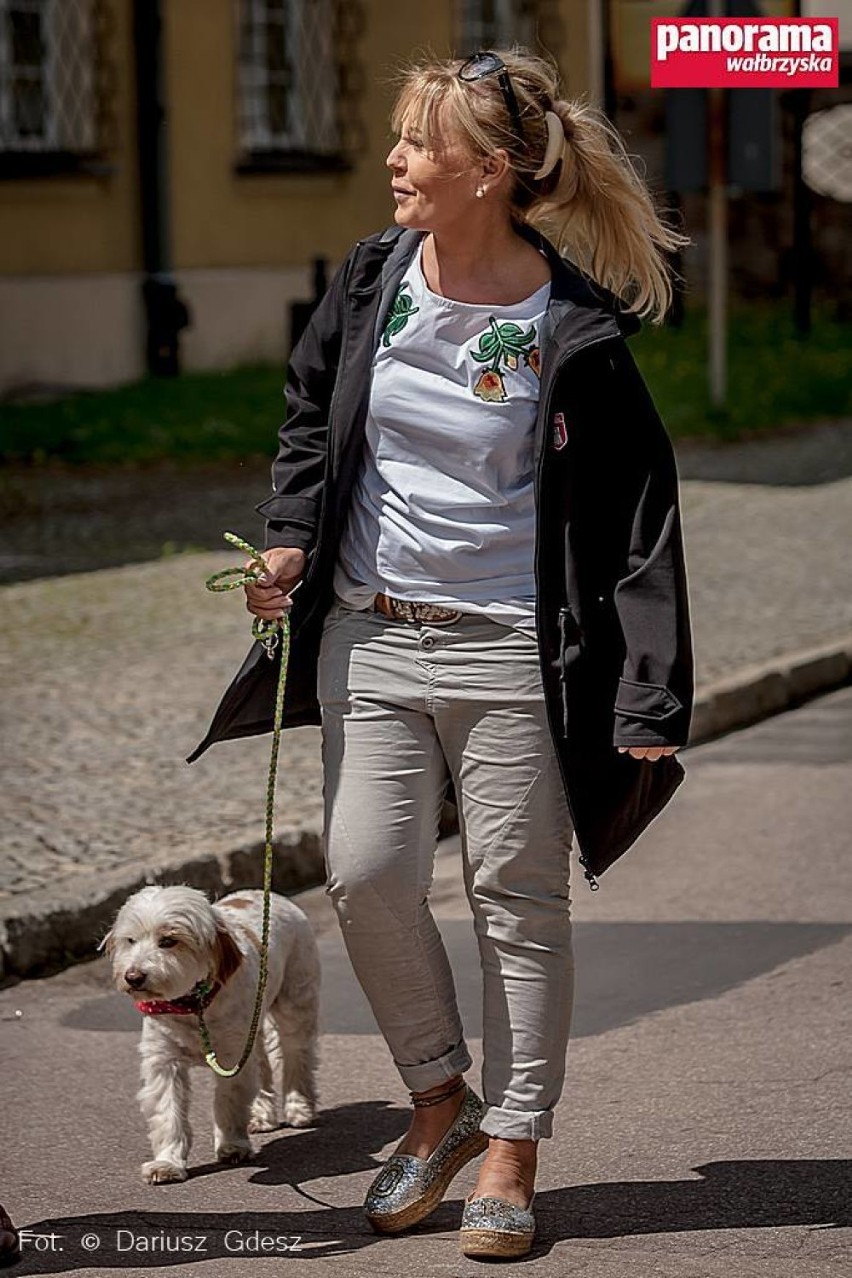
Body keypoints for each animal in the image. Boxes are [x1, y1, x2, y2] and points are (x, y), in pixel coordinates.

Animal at [103, 884, 321, 1180]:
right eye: (130, 940)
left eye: (168, 941)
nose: (133, 977)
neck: (192, 1005)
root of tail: (270, 894)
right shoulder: (164, 1062)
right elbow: (168, 1112)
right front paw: (167, 1162)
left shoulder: (231, 1057)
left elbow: (229, 1101)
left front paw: (232, 1145)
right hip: (254, 1026)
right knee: (262, 1064)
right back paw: (263, 1114)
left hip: (295, 1004)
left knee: (297, 1057)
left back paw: (300, 1107)